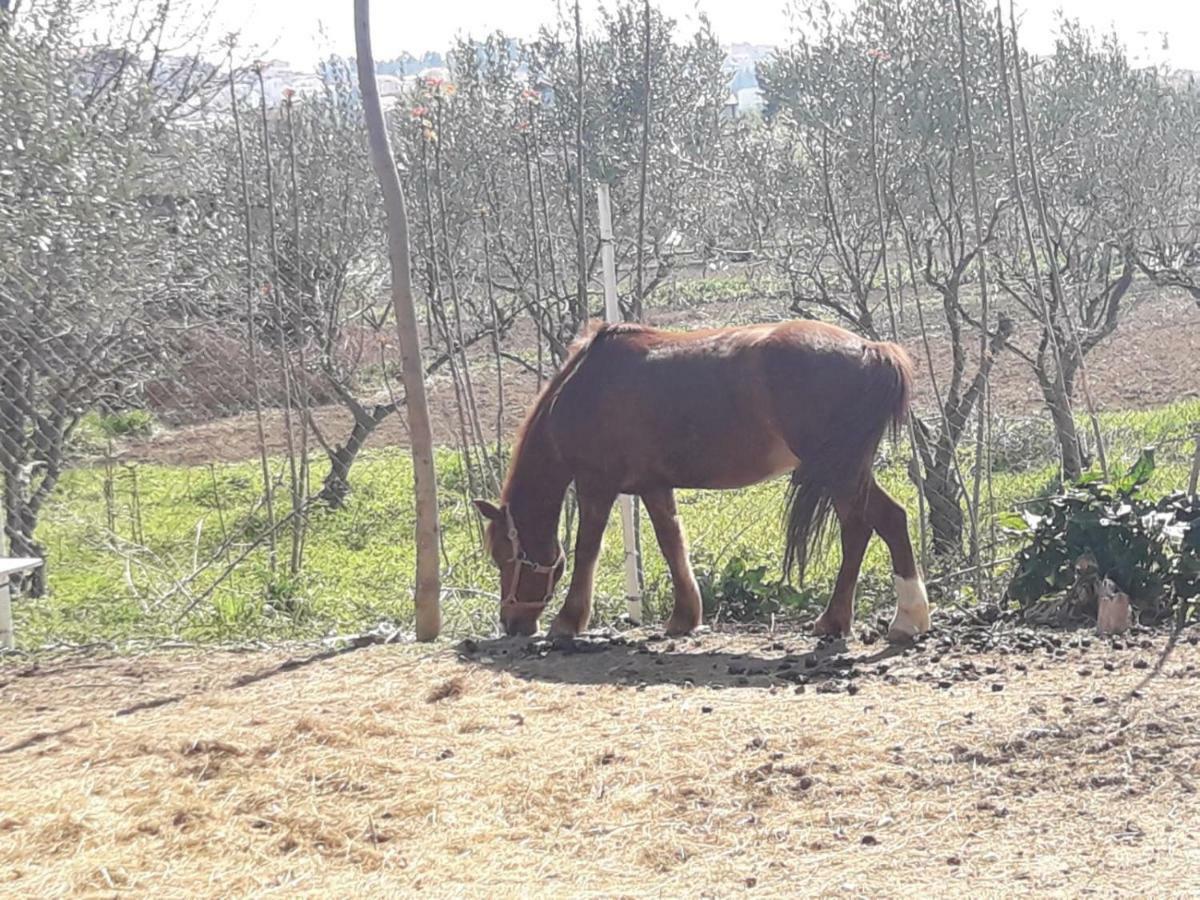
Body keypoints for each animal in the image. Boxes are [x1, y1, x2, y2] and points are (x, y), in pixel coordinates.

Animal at [472, 316, 931, 643]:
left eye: (504, 556)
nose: (511, 622)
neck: (584, 387)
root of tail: (872, 349)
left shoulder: (595, 485)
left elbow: (588, 550)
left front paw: (568, 621)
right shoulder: (654, 487)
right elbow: (672, 543)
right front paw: (684, 617)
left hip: (838, 470)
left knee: (867, 526)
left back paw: (874, 619)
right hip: (848, 470)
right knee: (879, 523)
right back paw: (882, 619)